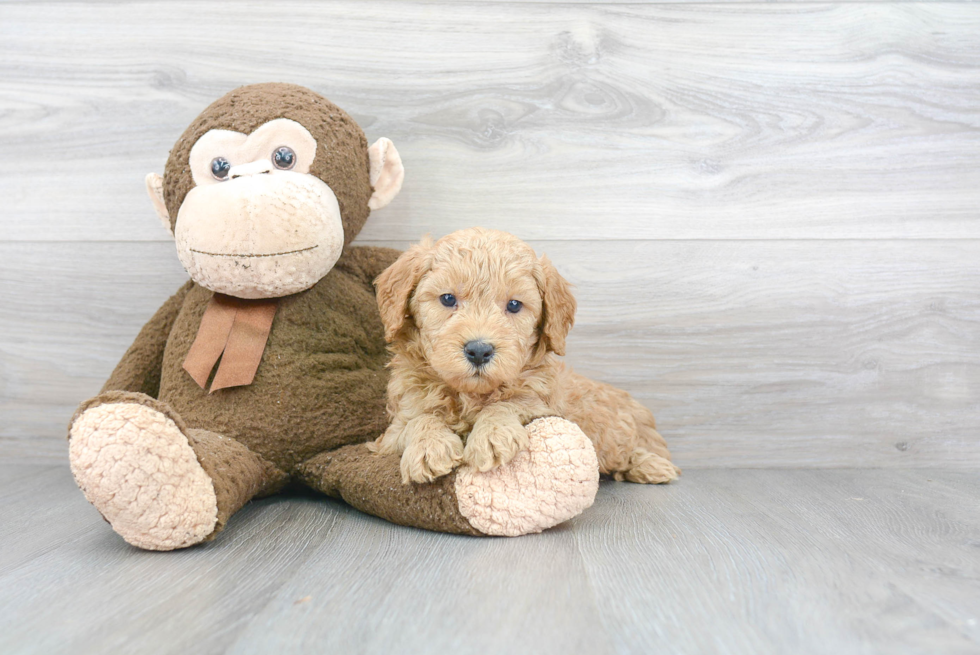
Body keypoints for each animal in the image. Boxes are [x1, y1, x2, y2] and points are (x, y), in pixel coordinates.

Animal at [370, 228, 680, 484]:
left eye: (514, 305)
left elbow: (511, 402)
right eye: (448, 299)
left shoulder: (544, 407)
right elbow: (418, 420)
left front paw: (492, 434)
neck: (469, 395)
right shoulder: (393, 429)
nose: (479, 350)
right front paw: (428, 446)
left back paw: (653, 466)